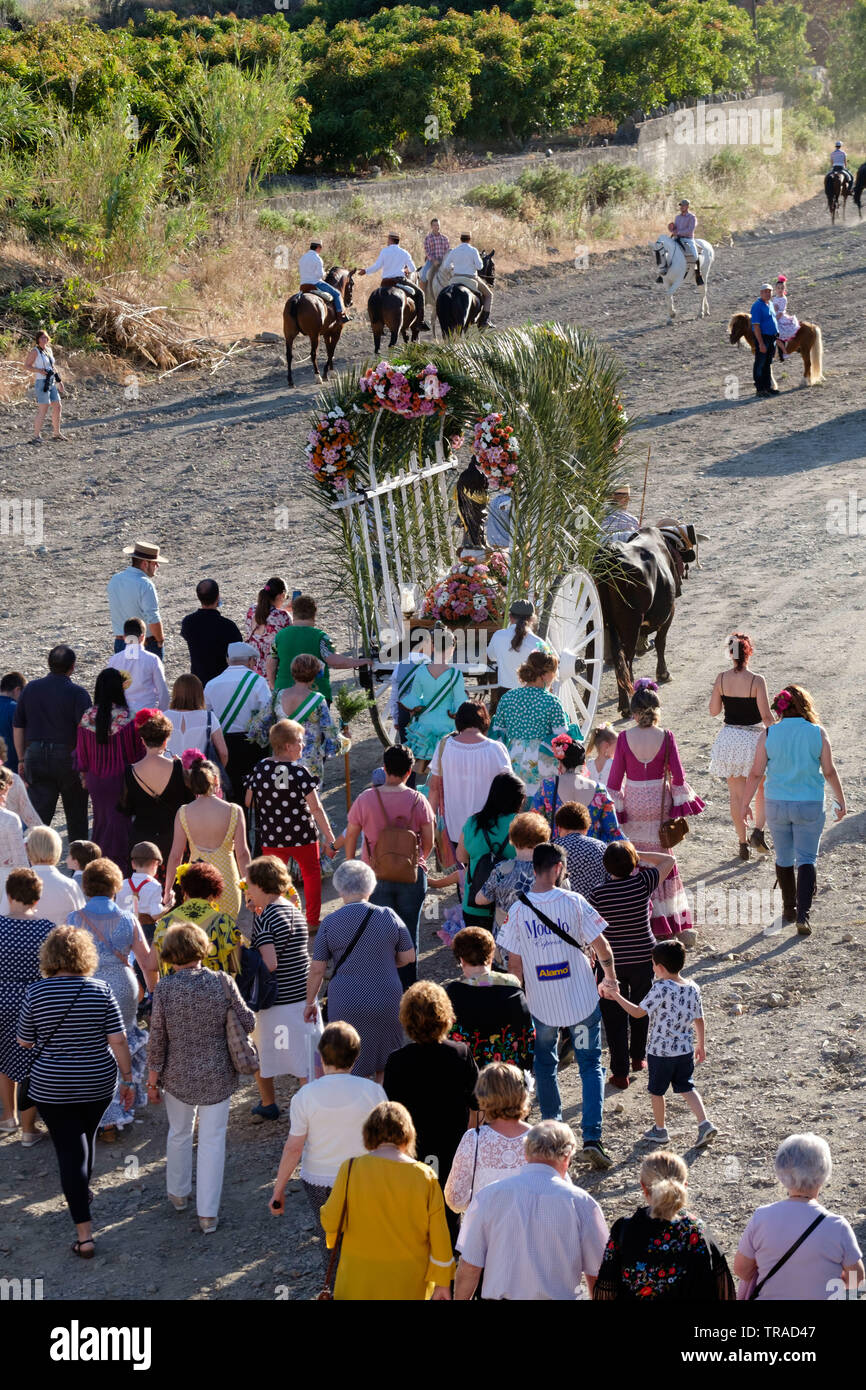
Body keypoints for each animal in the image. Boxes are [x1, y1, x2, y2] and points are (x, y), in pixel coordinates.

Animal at [600, 522, 708, 717]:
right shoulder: (670, 611)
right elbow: (660, 641)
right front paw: (663, 673)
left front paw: (644, 647)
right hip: (629, 625)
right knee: (626, 659)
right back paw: (628, 702)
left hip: (607, 625)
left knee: (618, 661)